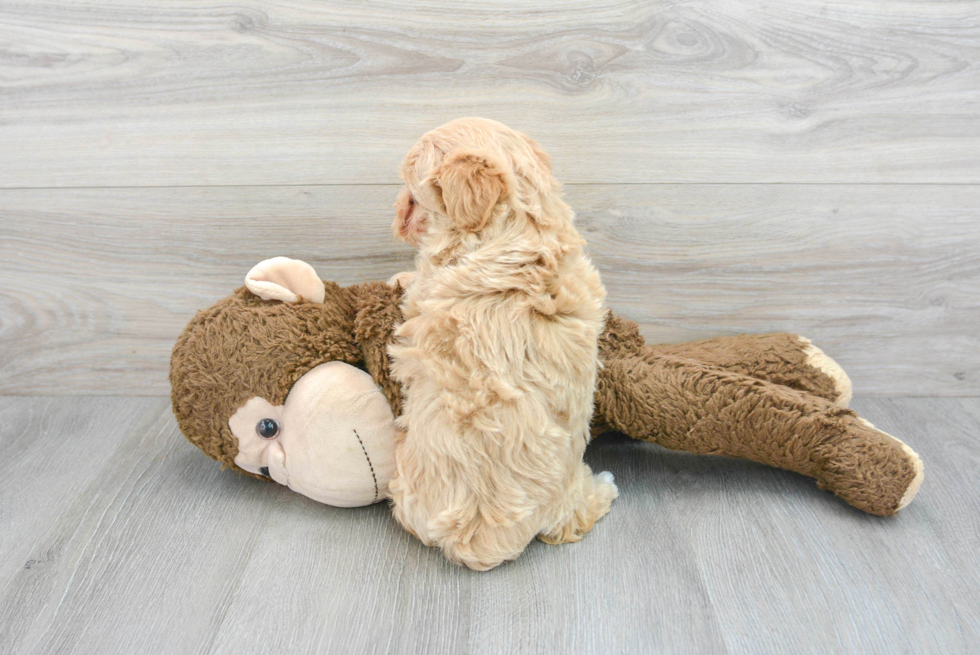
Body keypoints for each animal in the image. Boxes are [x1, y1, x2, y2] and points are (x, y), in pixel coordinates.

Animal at [386, 116, 616, 568]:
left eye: (414, 196)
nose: (397, 214)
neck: (525, 232)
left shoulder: (428, 285)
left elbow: (414, 282)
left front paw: (397, 277)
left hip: (403, 478)